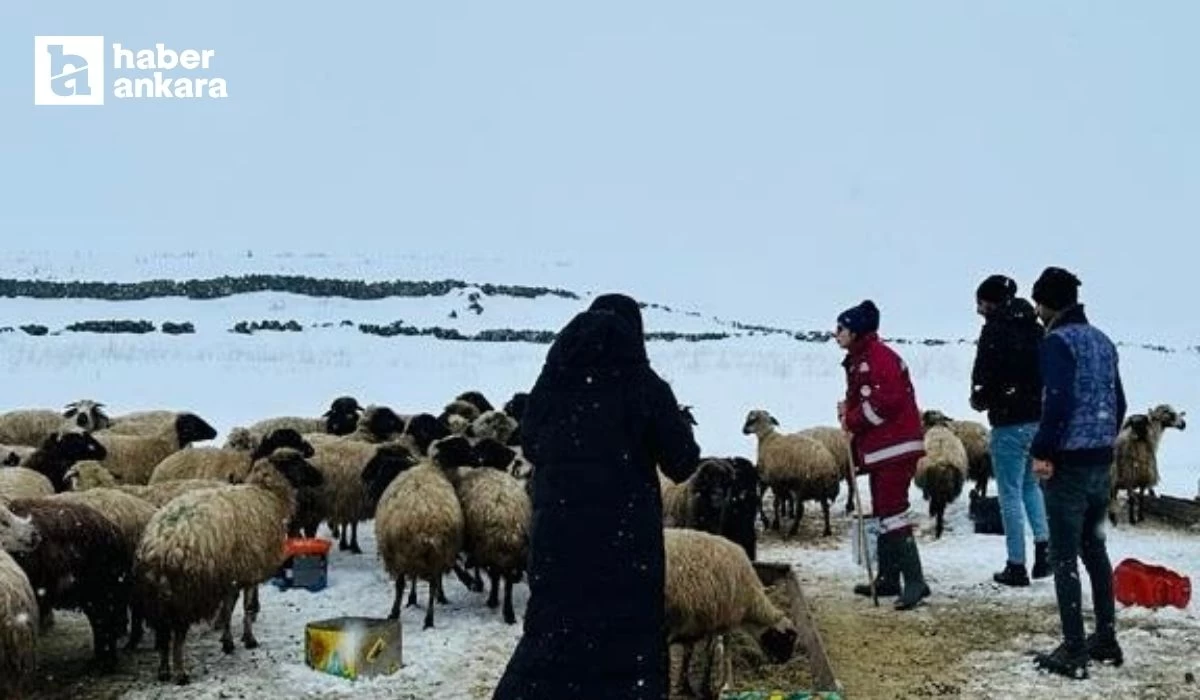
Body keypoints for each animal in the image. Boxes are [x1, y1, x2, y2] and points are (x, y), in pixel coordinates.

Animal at [0, 499, 132, 672]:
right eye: (3, 521)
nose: (35, 534)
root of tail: (114, 530)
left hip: (102, 591)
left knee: (104, 624)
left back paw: (105, 664)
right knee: (99, 624)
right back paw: (98, 661)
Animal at [135, 449, 324, 686]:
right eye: (297, 461)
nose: (321, 477)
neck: (268, 495)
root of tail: (160, 543)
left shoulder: (231, 572)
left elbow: (228, 608)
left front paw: (228, 641)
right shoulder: (250, 569)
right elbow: (245, 607)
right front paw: (248, 639)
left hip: (158, 595)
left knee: (163, 632)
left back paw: (163, 670)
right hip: (185, 593)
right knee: (177, 634)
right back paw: (180, 672)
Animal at [360, 437, 463, 629]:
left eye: (381, 464)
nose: (364, 477)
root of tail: (428, 528)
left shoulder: (405, 553)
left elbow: (407, 581)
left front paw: (410, 599)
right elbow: (419, 577)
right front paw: (419, 598)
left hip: (400, 554)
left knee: (401, 584)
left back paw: (395, 613)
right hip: (437, 553)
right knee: (433, 583)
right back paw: (430, 617)